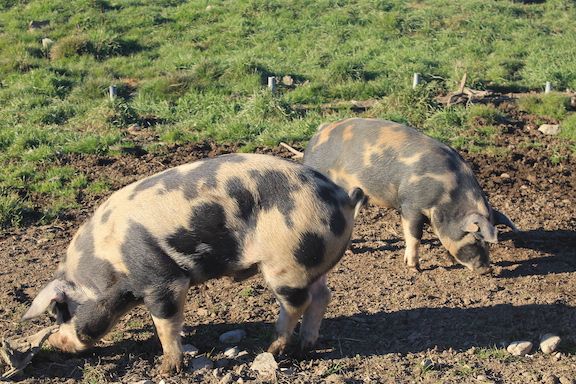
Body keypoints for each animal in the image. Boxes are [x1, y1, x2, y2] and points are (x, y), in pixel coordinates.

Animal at [23, 152, 364, 376]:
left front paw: (167, 370)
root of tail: (342, 197)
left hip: (288, 262)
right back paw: (305, 347)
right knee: (322, 296)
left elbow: (165, 324)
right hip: (311, 261)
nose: (57, 343)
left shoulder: (163, 281)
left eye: (61, 310)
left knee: (298, 302)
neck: (110, 268)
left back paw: (271, 350)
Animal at [302, 118, 516, 274]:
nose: (486, 270)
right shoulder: (410, 205)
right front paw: (414, 268)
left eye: (489, 243)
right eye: (475, 239)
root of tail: (321, 130)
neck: (446, 198)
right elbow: (414, 235)